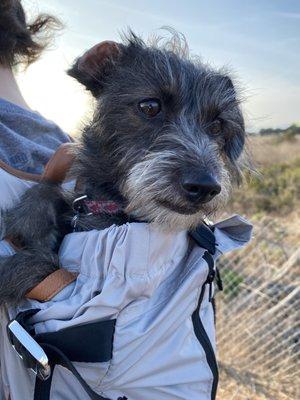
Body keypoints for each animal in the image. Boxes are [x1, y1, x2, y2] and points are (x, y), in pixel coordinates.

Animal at [0, 31, 246, 304]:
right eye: (150, 106)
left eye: (217, 125)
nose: (205, 187)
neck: (110, 208)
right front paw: (31, 216)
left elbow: (40, 268)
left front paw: (13, 268)